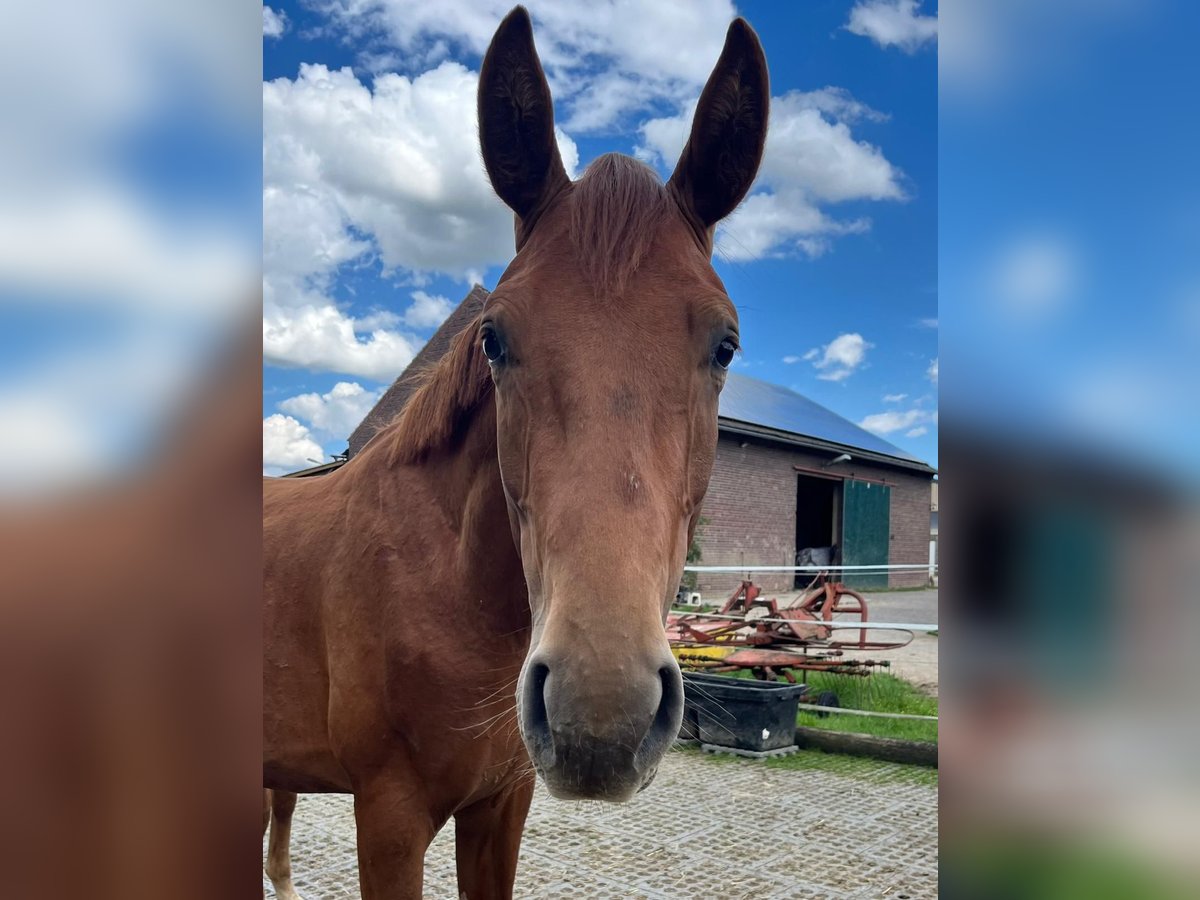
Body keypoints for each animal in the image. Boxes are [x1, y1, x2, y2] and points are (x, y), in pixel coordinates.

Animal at [262, 5, 768, 897]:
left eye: (725, 345)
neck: (435, 580)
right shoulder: (387, 819)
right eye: (494, 338)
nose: (600, 711)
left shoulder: (502, 807)